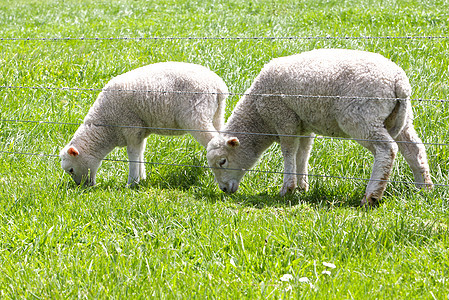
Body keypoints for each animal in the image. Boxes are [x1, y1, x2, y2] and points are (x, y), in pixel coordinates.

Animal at [60, 61, 228, 186]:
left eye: (71, 170)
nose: (82, 186)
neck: (106, 125)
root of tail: (218, 86)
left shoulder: (130, 126)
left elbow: (132, 154)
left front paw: (131, 183)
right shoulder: (140, 131)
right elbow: (140, 152)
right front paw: (141, 178)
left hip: (196, 115)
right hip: (216, 114)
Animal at [206, 49, 430, 207]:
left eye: (223, 161)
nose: (224, 189)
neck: (259, 118)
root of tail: (398, 81)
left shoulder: (284, 118)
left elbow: (288, 151)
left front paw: (287, 188)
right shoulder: (303, 124)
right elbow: (302, 153)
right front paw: (302, 186)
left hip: (361, 117)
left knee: (386, 150)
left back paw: (372, 196)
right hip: (401, 118)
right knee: (414, 150)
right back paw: (424, 188)